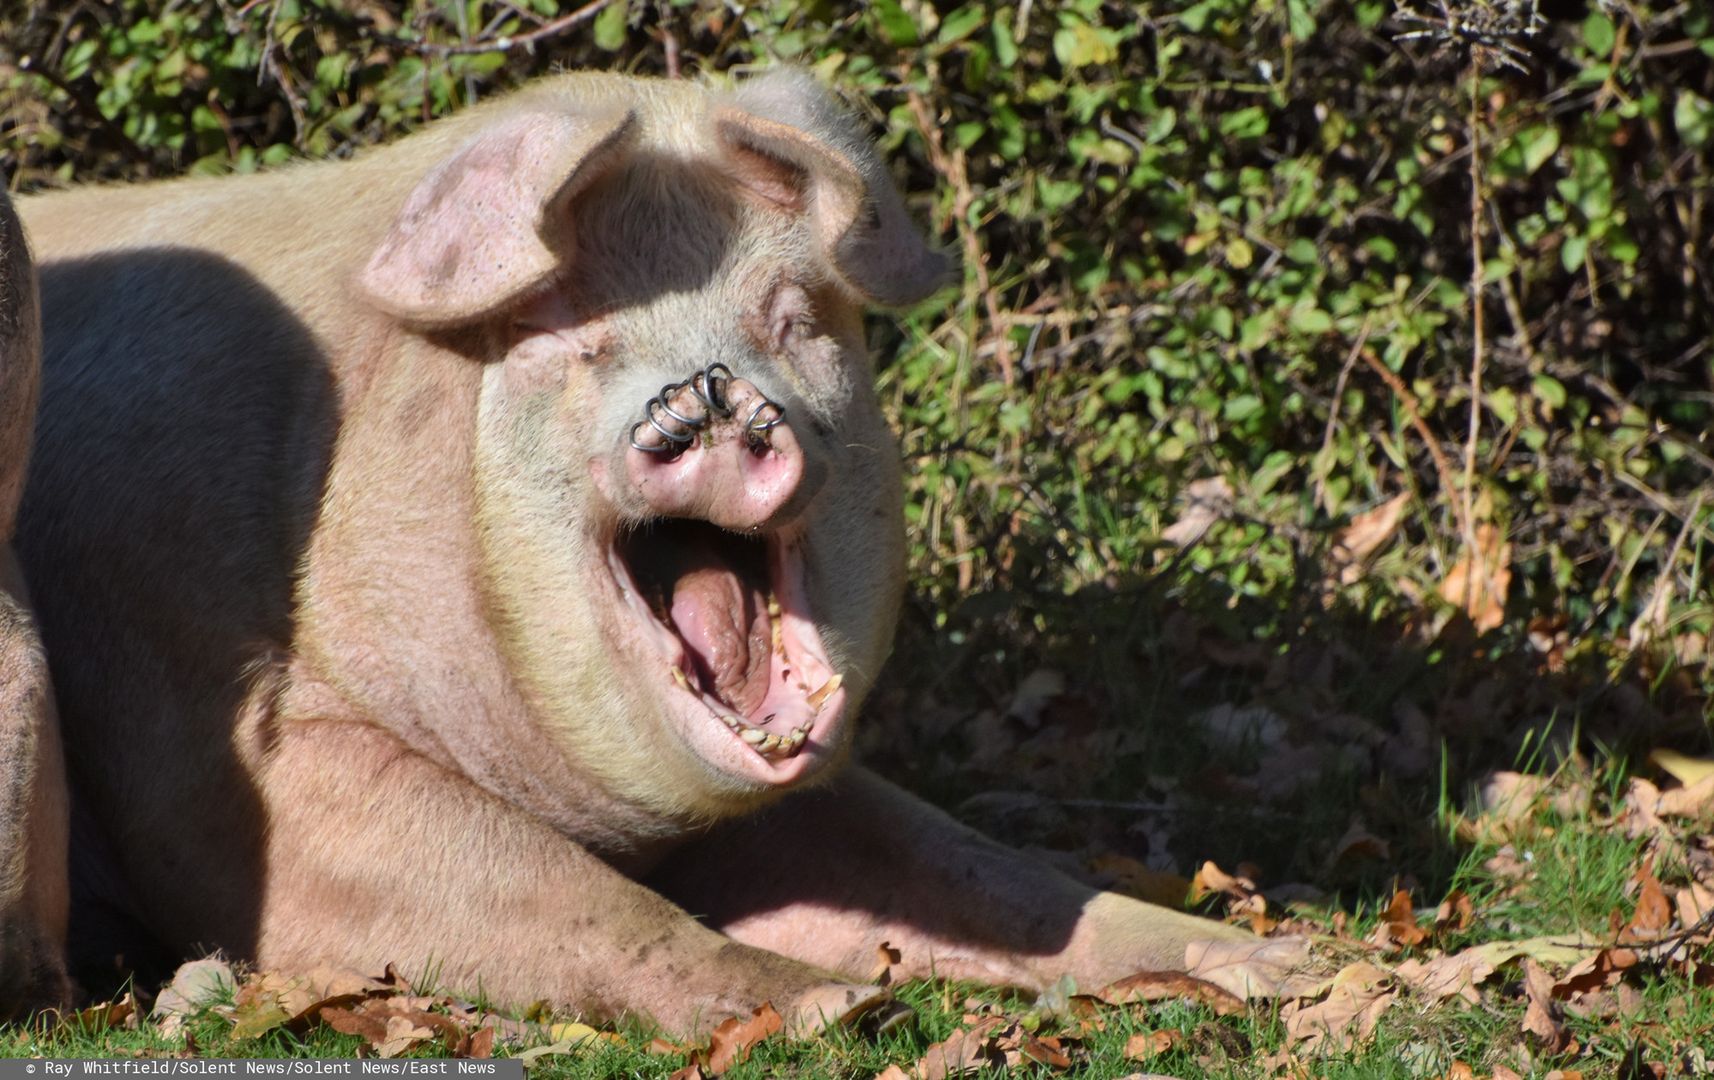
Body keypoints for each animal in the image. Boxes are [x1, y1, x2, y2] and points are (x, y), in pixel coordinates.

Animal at [13, 72, 1247, 1035]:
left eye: (792, 318)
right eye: (575, 336)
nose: (712, 394)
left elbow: (975, 871)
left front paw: (1268, 966)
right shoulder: (204, 719)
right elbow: (529, 881)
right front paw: (828, 1007)